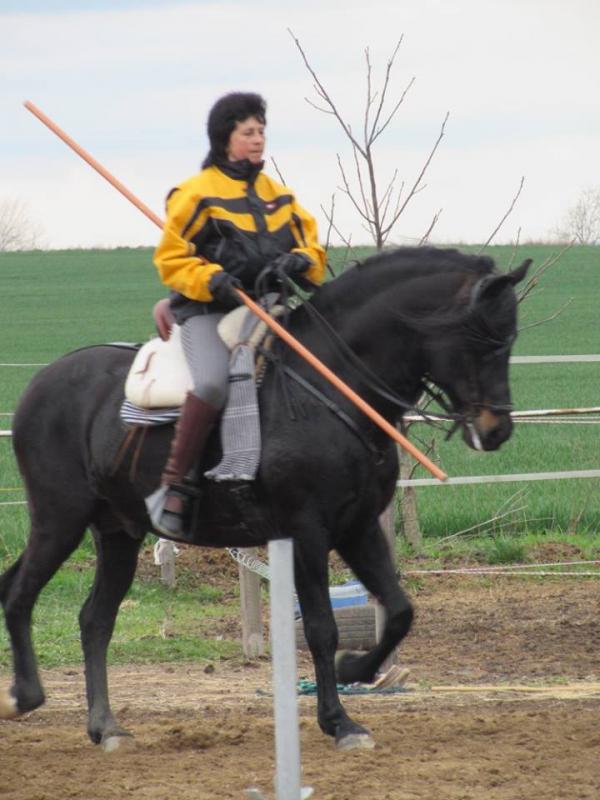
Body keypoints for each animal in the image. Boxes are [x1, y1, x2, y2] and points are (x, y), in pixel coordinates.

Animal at [0, 246, 530, 751]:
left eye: (510, 340)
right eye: (483, 340)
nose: (497, 430)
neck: (329, 384)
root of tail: (41, 382)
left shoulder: (357, 527)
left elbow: (399, 611)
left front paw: (354, 668)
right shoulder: (306, 532)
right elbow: (321, 627)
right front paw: (339, 722)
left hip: (116, 533)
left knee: (94, 620)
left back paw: (106, 727)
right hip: (60, 519)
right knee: (21, 594)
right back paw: (25, 696)